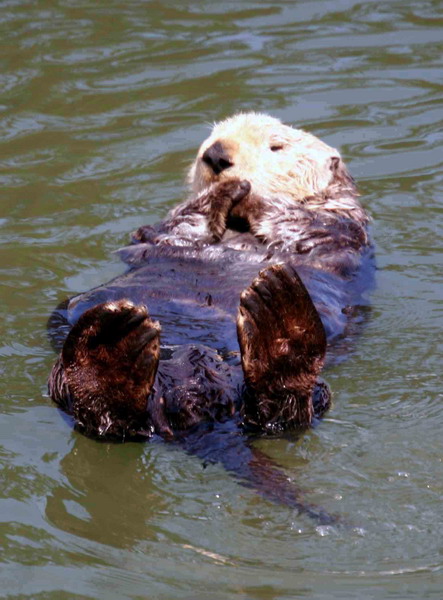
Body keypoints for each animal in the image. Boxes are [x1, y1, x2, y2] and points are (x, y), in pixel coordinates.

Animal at [48, 113, 373, 523]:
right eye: (212, 137)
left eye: (276, 146)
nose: (217, 156)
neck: (236, 228)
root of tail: (195, 406)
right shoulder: (164, 230)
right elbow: (178, 226)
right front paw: (224, 191)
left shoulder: (339, 227)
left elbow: (298, 223)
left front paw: (252, 193)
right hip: (64, 380)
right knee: (107, 420)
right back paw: (111, 347)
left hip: (312, 392)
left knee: (285, 415)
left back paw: (280, 318)